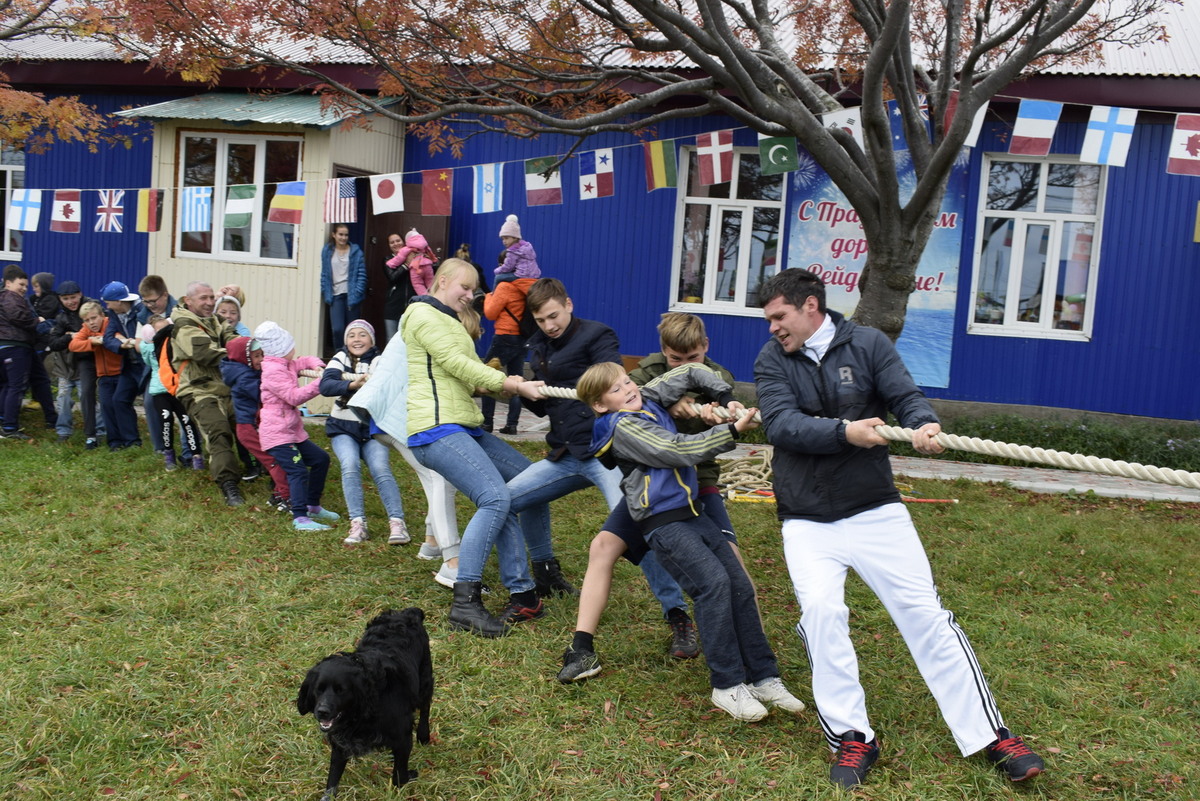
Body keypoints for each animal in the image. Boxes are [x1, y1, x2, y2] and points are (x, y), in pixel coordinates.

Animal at [297, 609, 434, 796]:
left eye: (341, 690)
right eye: (319, 689)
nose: (322, 711)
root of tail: (405, 613)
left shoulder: (403, 736)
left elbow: (399, 777)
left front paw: (406, 779)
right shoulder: (340, 742)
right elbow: (332, 780)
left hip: (425, 679)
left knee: (425, 706)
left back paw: (423, 735)